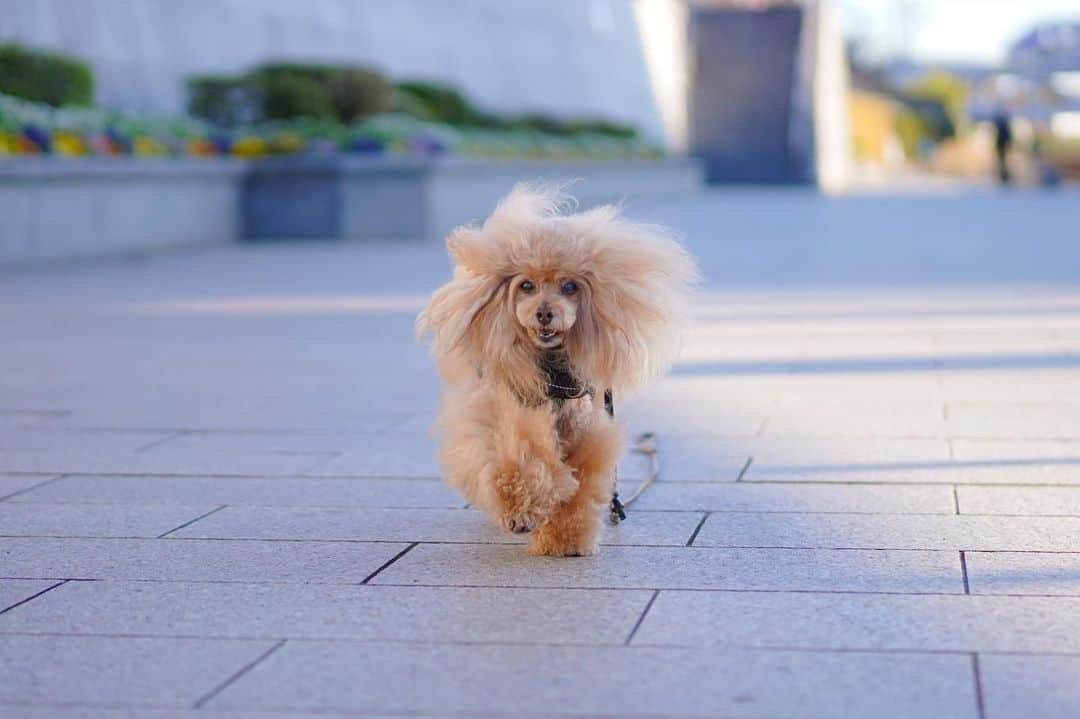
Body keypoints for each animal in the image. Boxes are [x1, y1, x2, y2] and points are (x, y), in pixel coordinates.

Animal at [416, 184, 695, 552]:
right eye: (526, 286)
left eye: (570, 287)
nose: (545, 313)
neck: (551, 371)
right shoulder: (508, 417)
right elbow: (519, 461)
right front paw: (522, 513)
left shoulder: (582, 433)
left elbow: (579, 483)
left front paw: (565, 539)